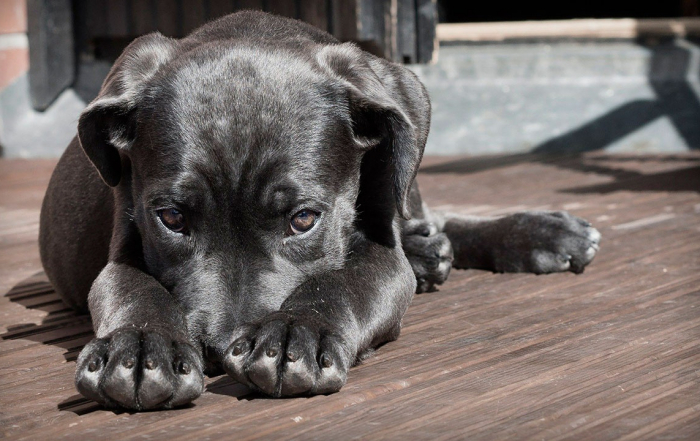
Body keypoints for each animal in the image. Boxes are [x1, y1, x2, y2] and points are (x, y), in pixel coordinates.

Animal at [38, 10, 600, 410]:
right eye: (172, 219)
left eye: (304, 219)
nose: (219, 350)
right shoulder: (124, 242)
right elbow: (132, 288)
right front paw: (138, 348)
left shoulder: (381, 254)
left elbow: (342, 281)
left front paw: (294, 333)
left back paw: (538, 234)